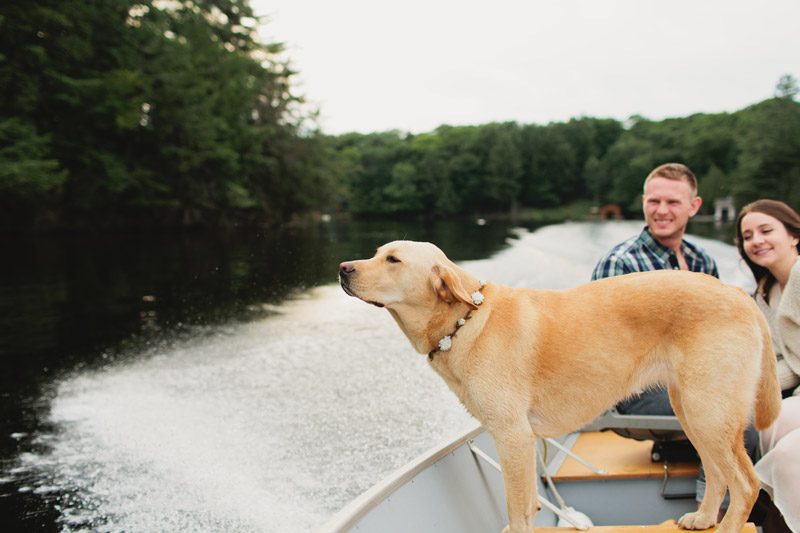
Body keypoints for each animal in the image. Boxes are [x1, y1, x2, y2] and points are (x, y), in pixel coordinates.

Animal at [340, 240, 780, 532]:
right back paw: (703, 518)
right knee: (717, 473)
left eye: (393, 260)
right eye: (376, 253)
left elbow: (516, 507)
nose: (343, 267)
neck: (464, 322)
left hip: (708, 412)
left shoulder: (511, 436)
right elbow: (532, 502)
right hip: (692, 411)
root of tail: (739, 294)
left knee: (747, 484)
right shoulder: (523, 441)